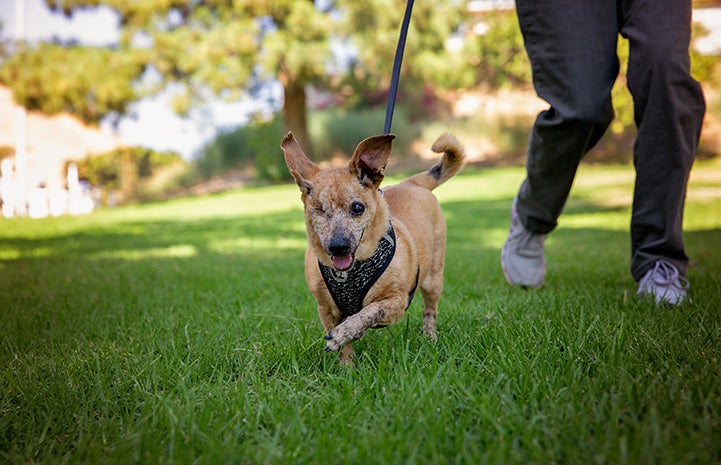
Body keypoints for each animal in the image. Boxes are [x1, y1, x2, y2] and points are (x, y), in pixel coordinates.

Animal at [278, 130, 464, 362]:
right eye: (319, 209)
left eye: (357, 207)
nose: (338, 246)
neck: (351, 271)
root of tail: (413, 183)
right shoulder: (326, 309)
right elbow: (344, 346)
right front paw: (348, 364)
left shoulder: (397, 302)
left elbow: (368, 312)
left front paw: (346, 332)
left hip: (433, 279)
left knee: (430, 311)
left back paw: (430, 338)